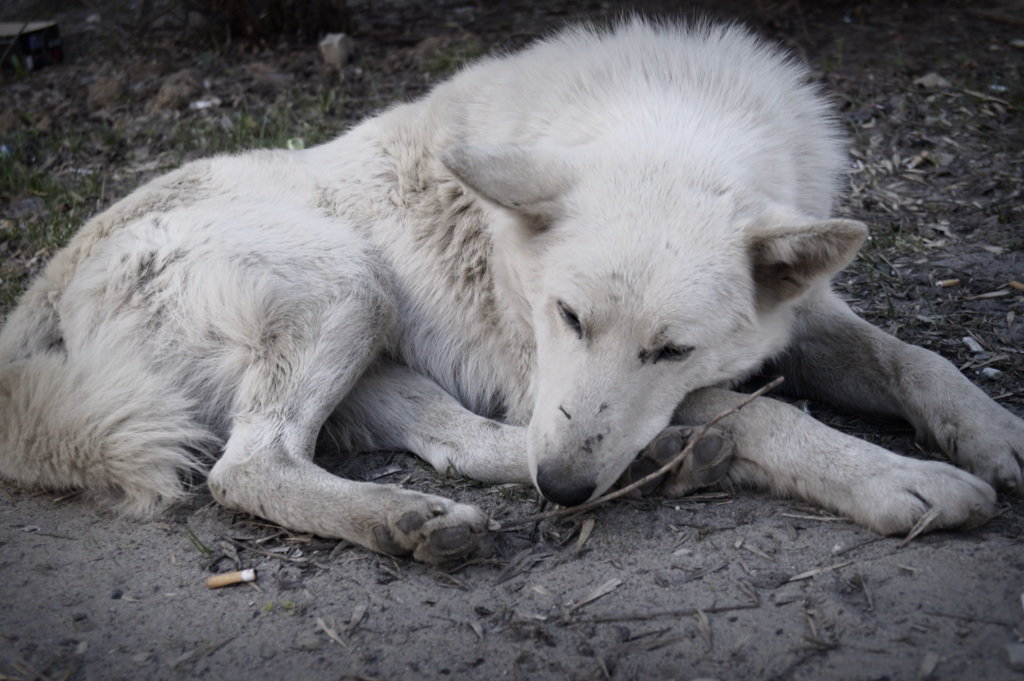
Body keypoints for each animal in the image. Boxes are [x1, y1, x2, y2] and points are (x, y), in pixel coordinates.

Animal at [2, 22, 1024, 561]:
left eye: (672, 348)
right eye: (566, 316)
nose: (565, 490)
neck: (675, 117)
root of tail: (44, 286)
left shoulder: (801, 319)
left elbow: (918, 360)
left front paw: (996, 433)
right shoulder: (549, 373)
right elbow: (775, 414)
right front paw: (898, 479)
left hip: (371, 343)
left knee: (460, 442)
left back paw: (658, 460)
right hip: (348, 286)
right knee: (246, 467)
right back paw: (412, 517)